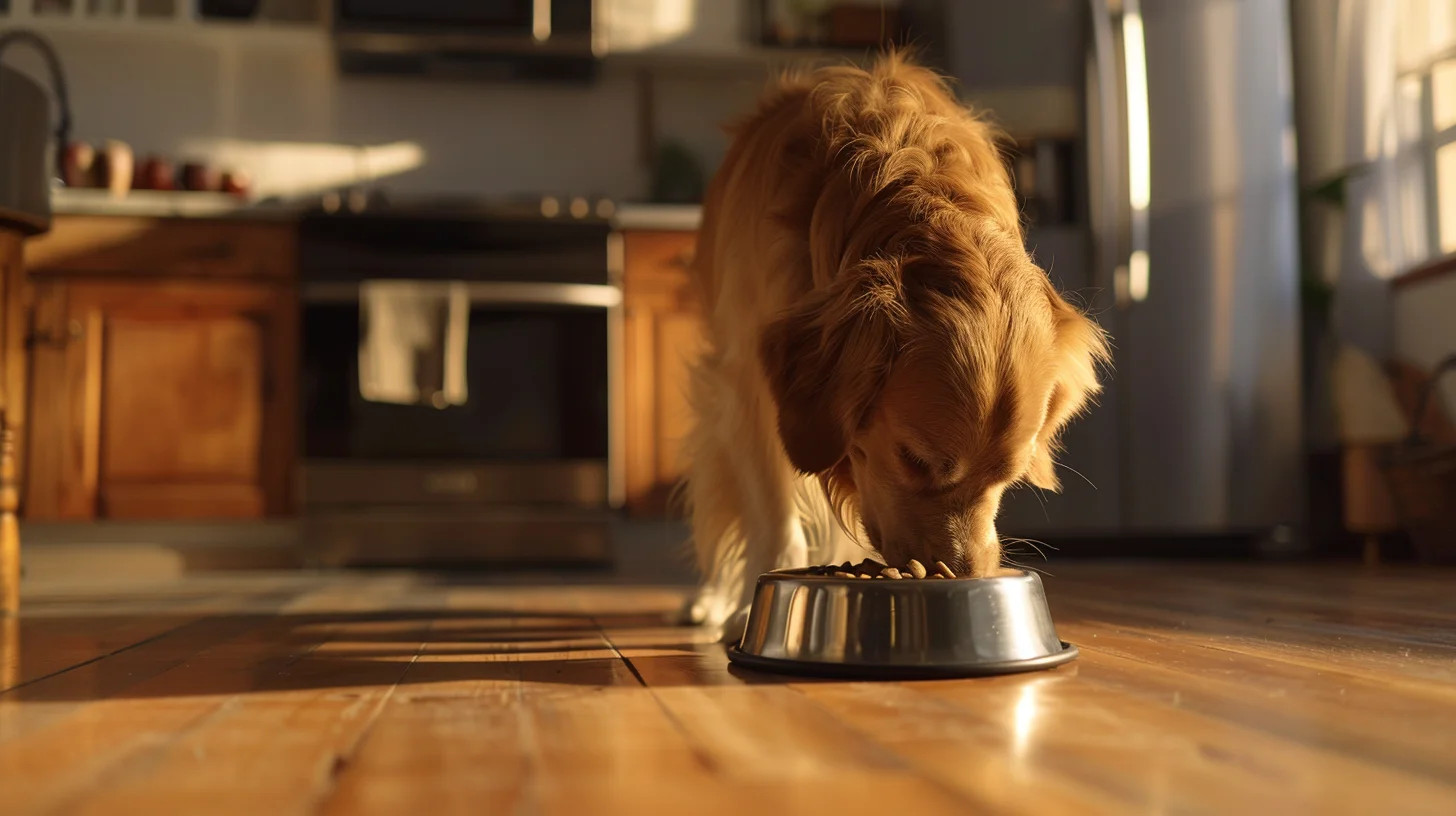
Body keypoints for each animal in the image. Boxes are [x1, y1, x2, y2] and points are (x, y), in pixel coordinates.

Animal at [678, 52, 1100, 638]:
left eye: (1010, 475)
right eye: (913, 459)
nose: (964, 573)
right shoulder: (749, 383)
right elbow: (771, 512)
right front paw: (746, 605)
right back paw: (711, 599)